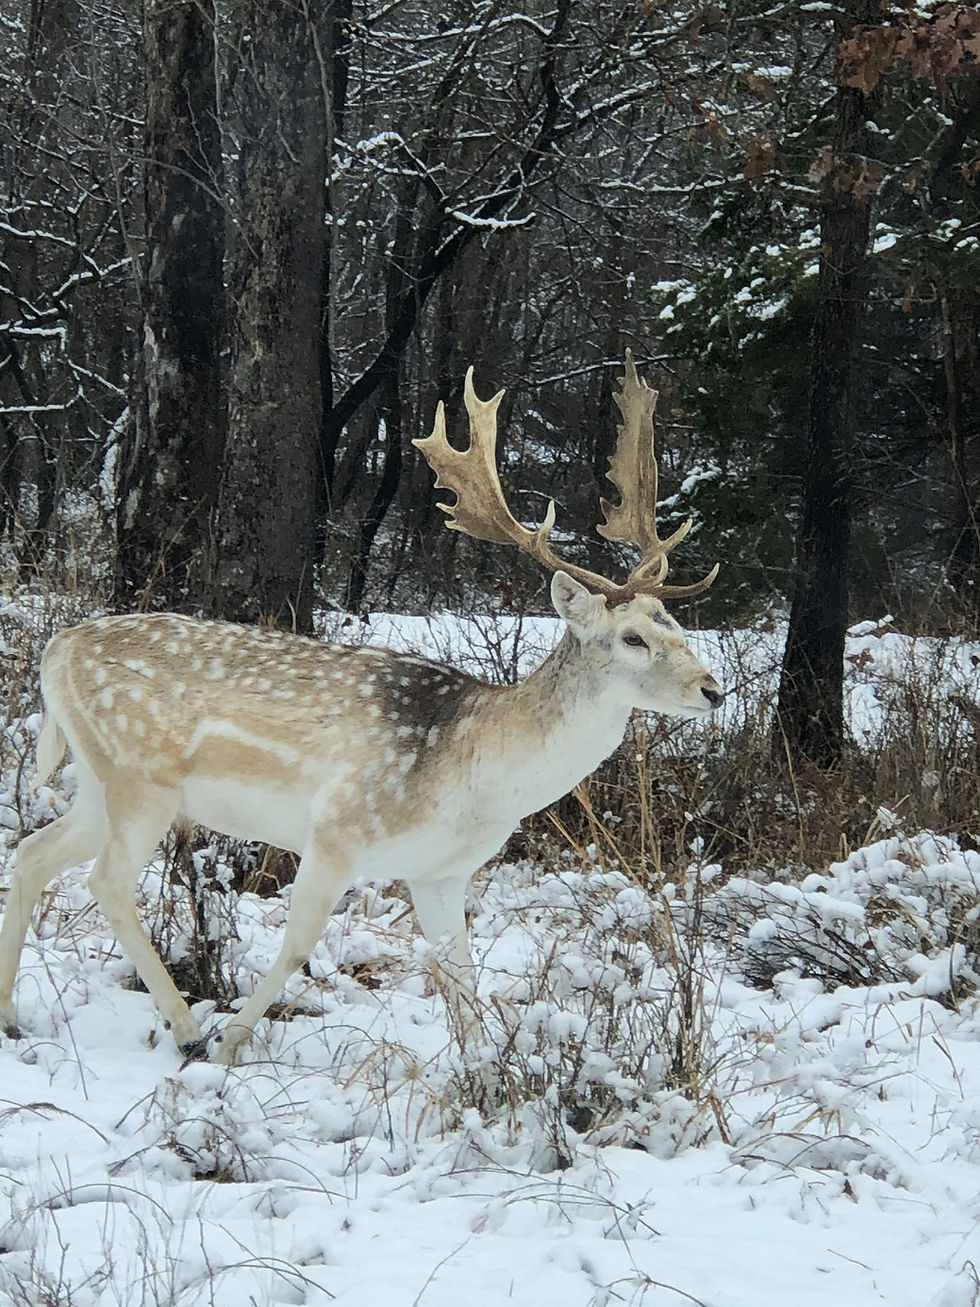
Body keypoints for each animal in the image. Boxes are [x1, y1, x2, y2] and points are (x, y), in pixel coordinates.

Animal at [0, 352, 722, 1064]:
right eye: (633, 637)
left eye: (677, 623)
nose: (713, 688)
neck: (474, 774)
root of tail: (57, 648)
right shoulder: (337, 831)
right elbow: (296, 946)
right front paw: (233, 1041)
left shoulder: (441, 872)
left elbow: (461, 975)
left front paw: (488, 1074)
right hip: (139, 775)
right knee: (105, 882)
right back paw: (187, 1029)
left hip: (101, 783)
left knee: (33, 852)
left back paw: (12, 1018)